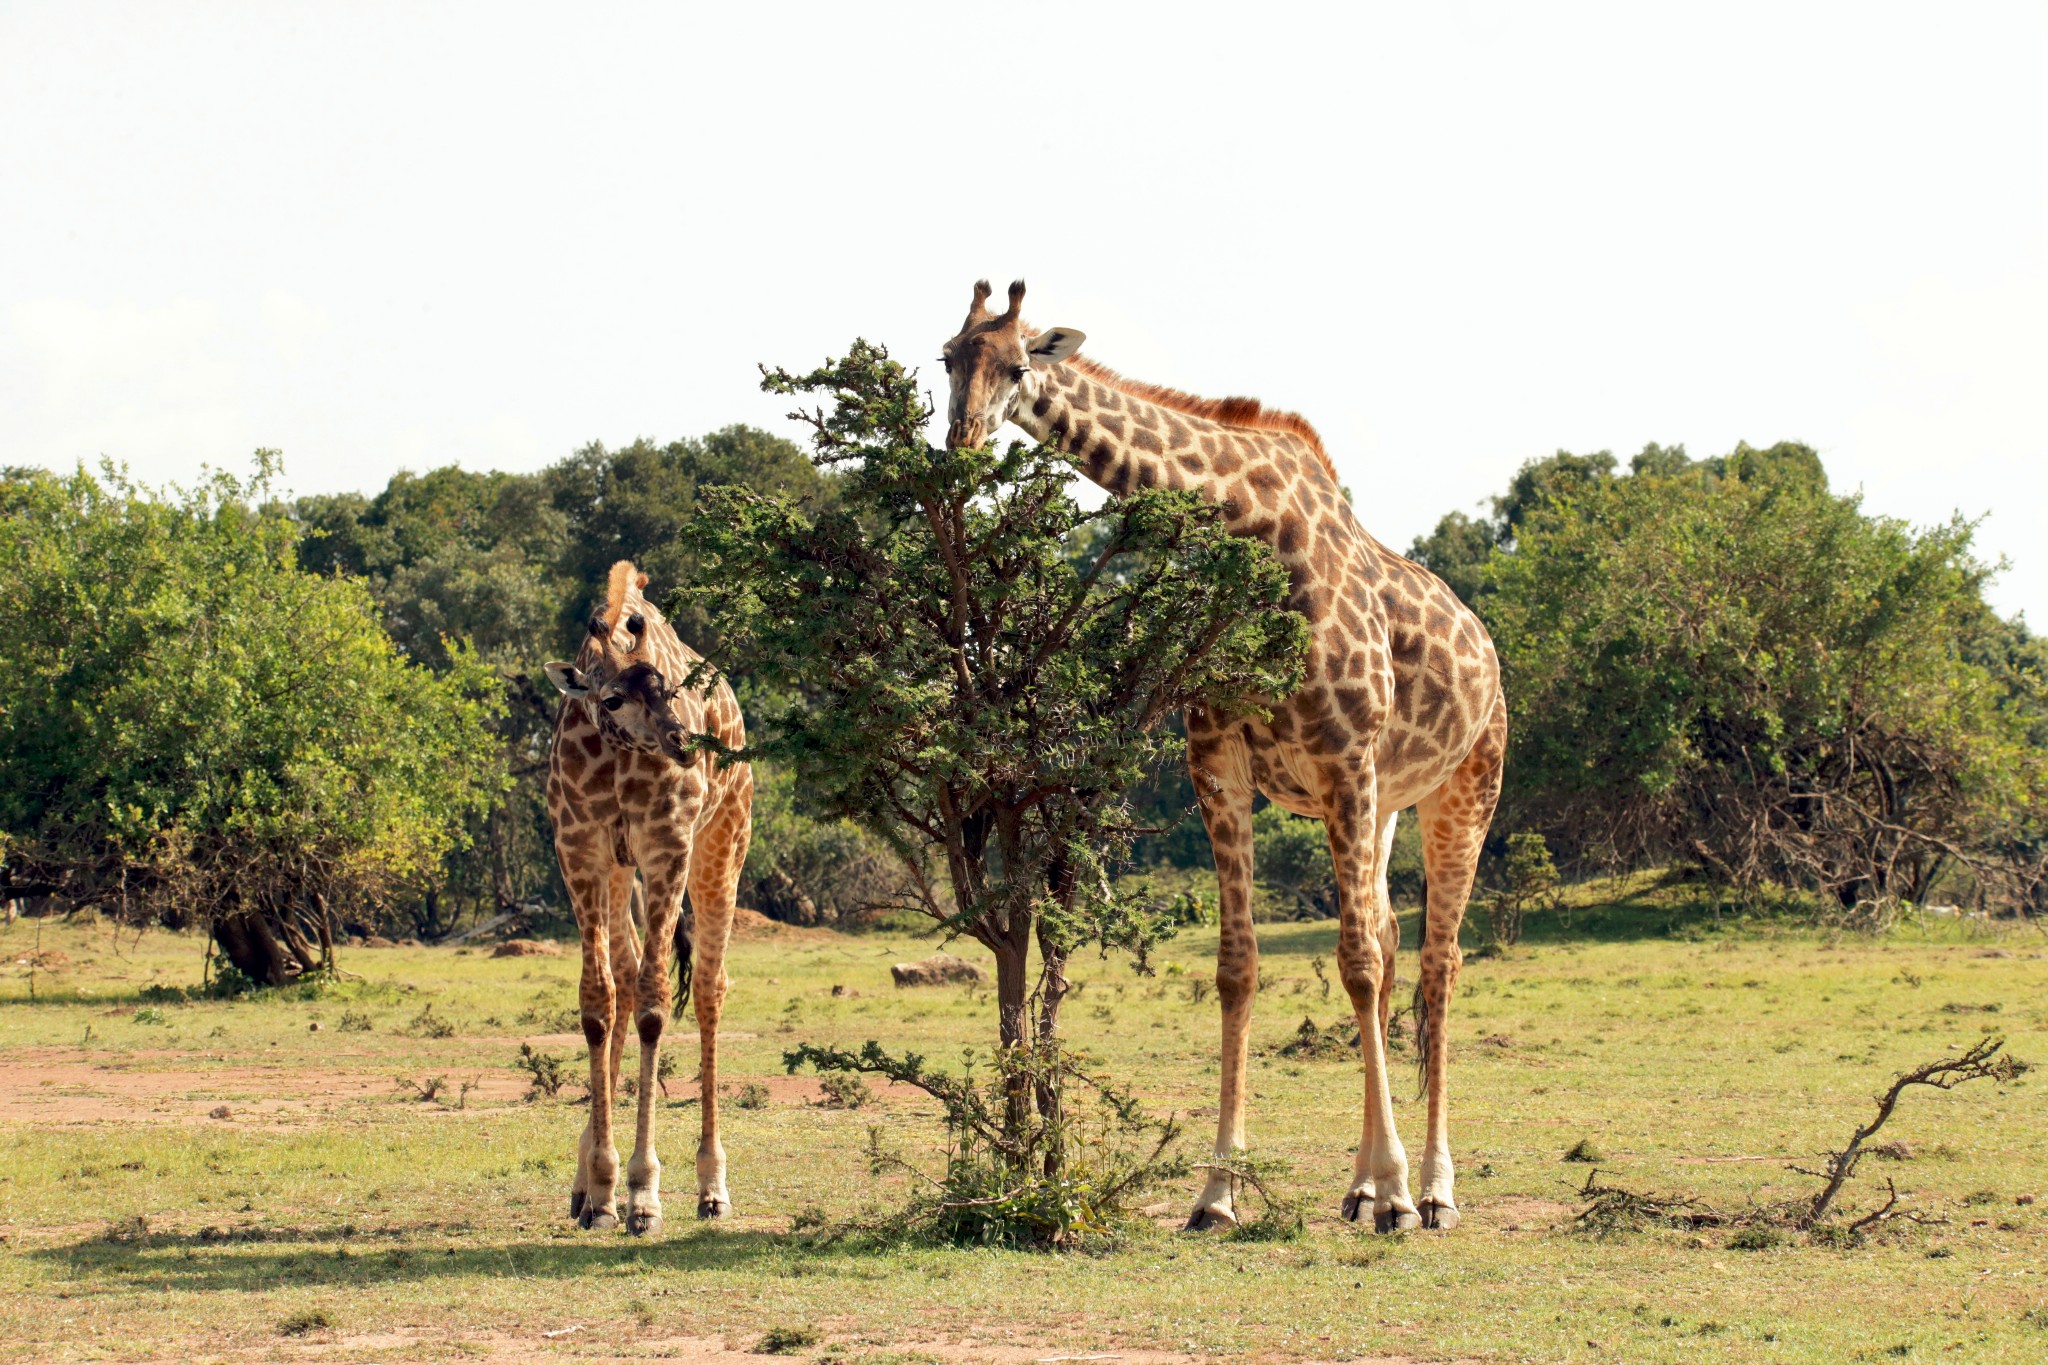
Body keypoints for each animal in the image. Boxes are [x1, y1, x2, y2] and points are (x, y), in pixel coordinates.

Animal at [544, 560, 753, 1236]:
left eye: (667, 689)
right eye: (611, 698)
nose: (685, 742)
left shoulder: (667, 845)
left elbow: (656, 1006)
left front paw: (642, 1194)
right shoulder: (579, 848)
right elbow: (598, 1003)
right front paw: (601, 1187)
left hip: (724, 840)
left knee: (709, 988)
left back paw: (712, 1188)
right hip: (618, 871)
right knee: (625, 973)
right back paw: (586, 1190)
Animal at [942, 282, 1507, 1236]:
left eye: (1018, 366)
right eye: (948, 358)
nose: (961, 448)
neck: (1248, 526)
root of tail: (1490, 648)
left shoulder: (1343, 752)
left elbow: (1355, 961)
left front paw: (1397, 1190)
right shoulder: (1219, 758)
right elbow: (1239, 965)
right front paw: (1217, 1193)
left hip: (1462, 786)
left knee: (1436, 961)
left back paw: (1430, 1190)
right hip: (1387, 799)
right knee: (1396, 940)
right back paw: (1361, 1185)